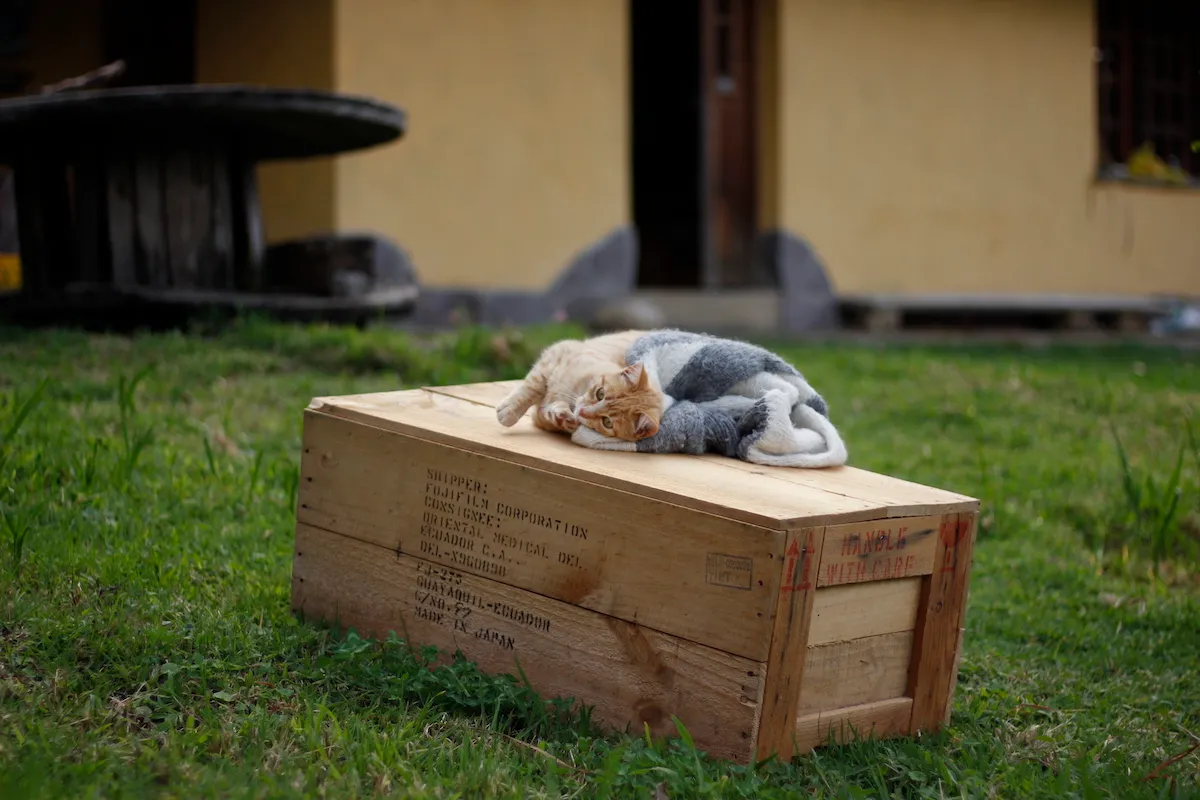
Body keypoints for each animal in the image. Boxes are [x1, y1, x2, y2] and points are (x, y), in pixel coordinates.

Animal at [494, 331, 667, 443]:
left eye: (607, 422)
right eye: (600, 393)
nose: (583, 411)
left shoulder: (540, 417)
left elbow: (549, 412)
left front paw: (562, 416)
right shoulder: (558, 352)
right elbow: (532, 387)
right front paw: (508, 412)